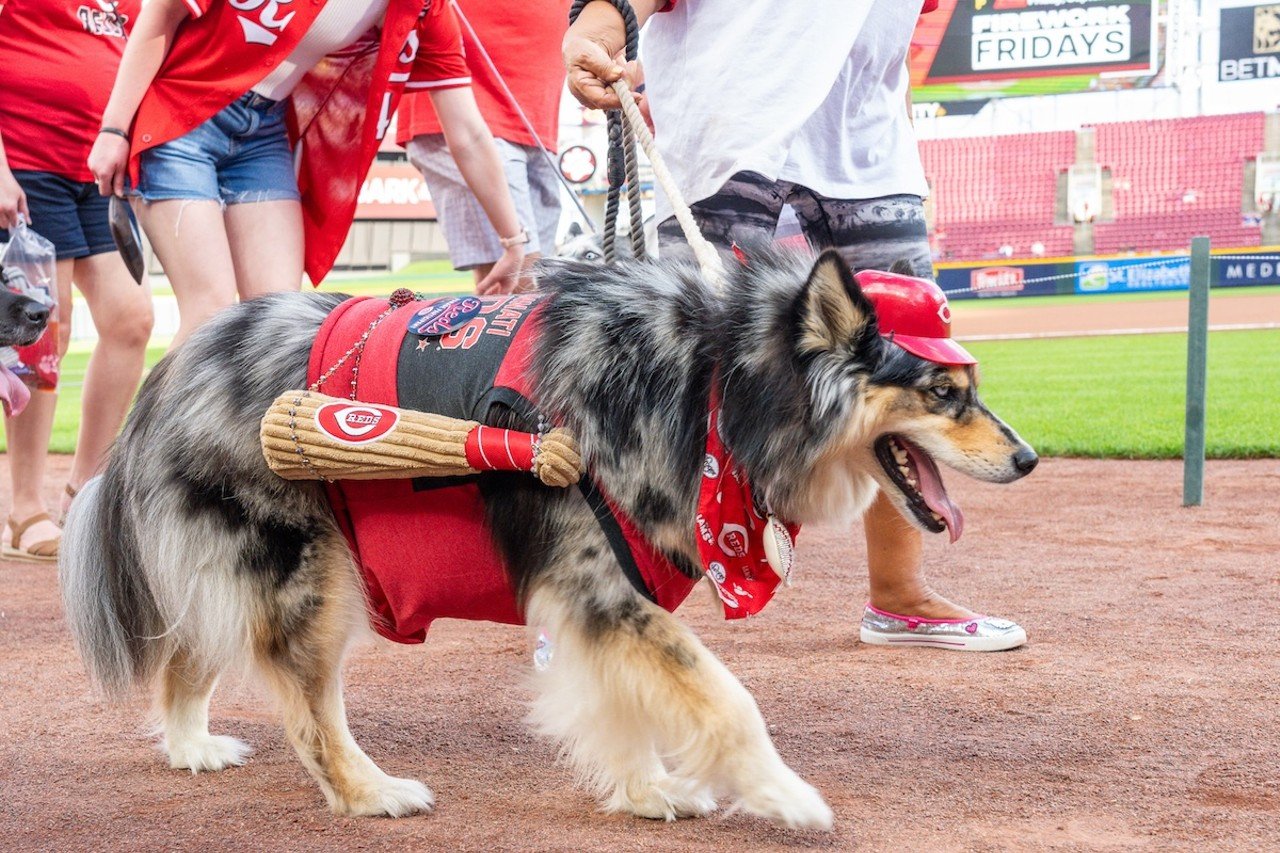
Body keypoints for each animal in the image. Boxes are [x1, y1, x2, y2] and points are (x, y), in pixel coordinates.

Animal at [57, 245, 1039, 824]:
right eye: (944, 392)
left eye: (972, 384)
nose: (1030, 456)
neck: (714, 382)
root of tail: (169, 370)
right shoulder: (599, 584)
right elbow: (726, 698)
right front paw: (782, 793)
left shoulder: (612, 597)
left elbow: (625, 705)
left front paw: (647, 789)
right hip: (310, 577)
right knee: (308, 710)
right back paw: (369, 791)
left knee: (188, 653)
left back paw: (189, 745)